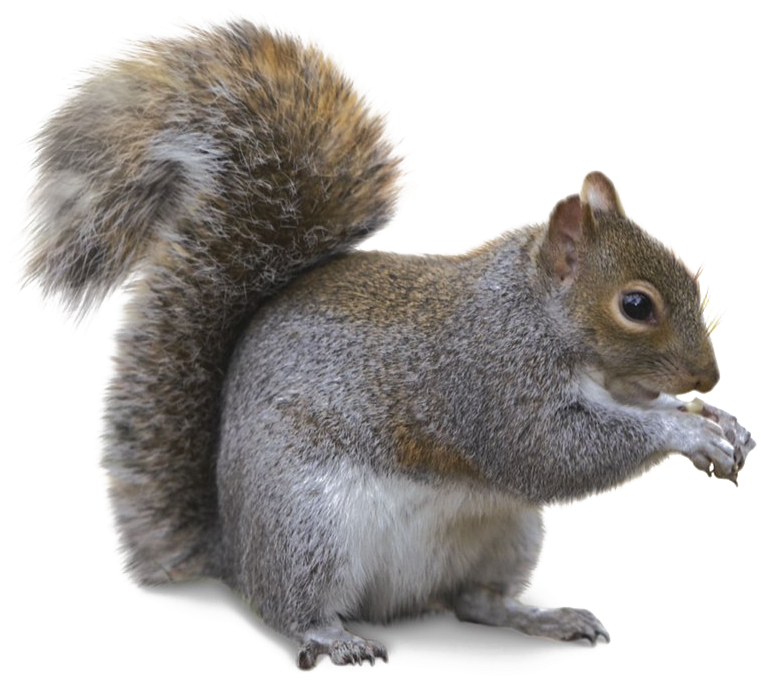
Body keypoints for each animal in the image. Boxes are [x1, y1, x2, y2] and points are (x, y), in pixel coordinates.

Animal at [6, 7, 754, 670]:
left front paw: (719, 424)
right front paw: (686, 430)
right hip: (308, 524)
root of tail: (234, 549)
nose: (709, 378)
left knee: (472, 603)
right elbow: (548, 453)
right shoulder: (487, 377)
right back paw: (333, 636)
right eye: (636, 305)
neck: (534, 312)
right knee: (290, 605)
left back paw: (539, 617)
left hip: (505, 533)